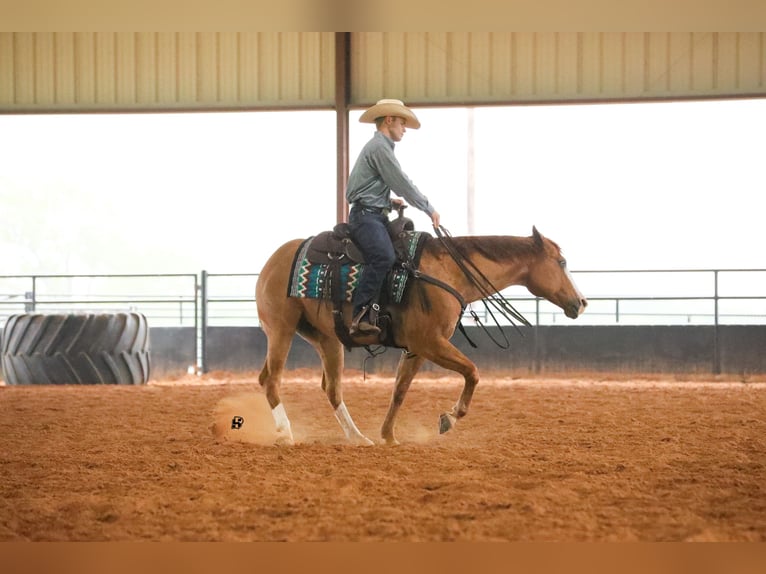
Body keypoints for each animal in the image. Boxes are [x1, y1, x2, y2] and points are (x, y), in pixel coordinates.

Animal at [255, 227, 584, 448]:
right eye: (561, 262)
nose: (581, 303)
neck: (447, 272)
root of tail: (272, 261)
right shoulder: (430, 342)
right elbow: (473, 372)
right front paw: (450, 417)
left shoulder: (416, 349)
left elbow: (400, 391)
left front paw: (388, 436)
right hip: (281, 330)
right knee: (272, 379)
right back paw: (286, 433)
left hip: (328, 339)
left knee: (331, 389)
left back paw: (358, 437)